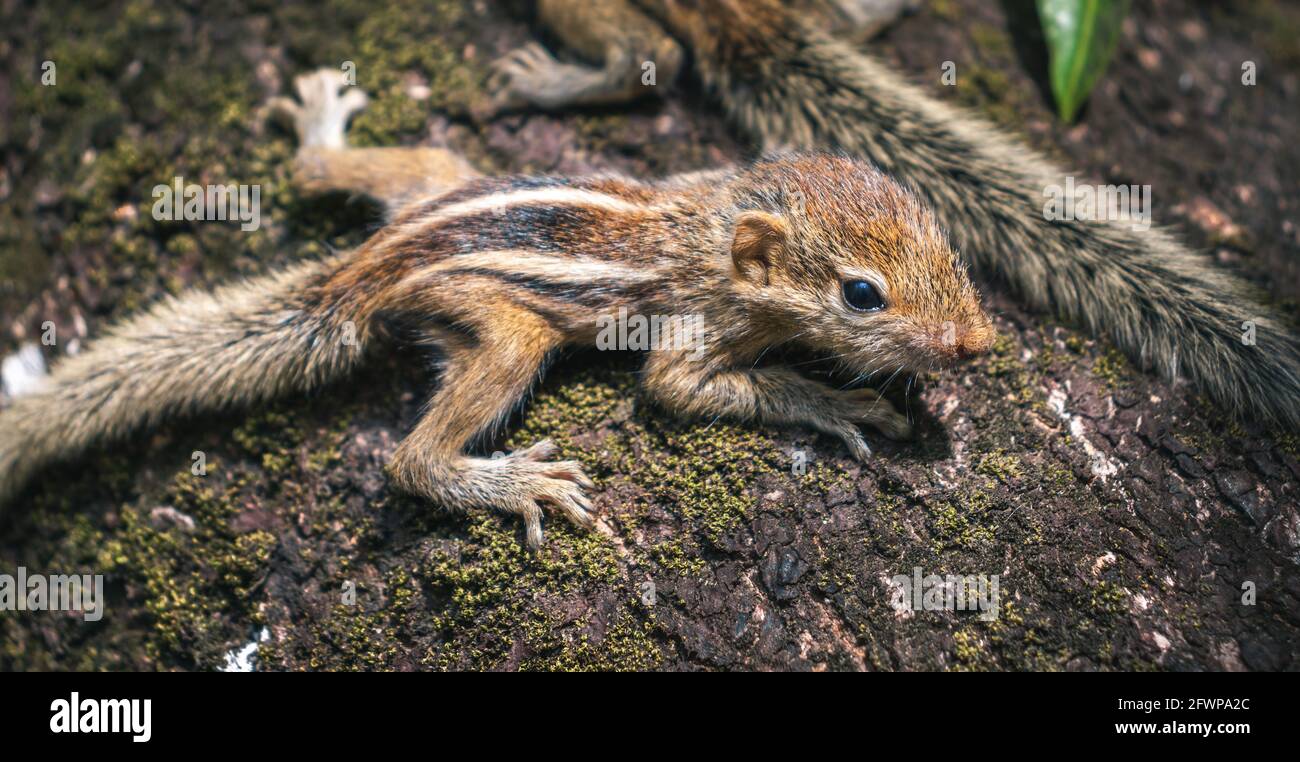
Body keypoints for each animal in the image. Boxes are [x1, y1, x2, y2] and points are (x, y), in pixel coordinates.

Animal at [2, 68, 993, 546]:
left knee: (312, 170)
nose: (979, 343)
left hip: (431, 172)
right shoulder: (691, 334)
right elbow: (682, 389)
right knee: (408, 460)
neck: (716, 226)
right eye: (860, 294)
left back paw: (321, 125)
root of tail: (369, 267)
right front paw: (841, 403)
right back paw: (514, 484)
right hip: (504, 329)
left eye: (944, 235)